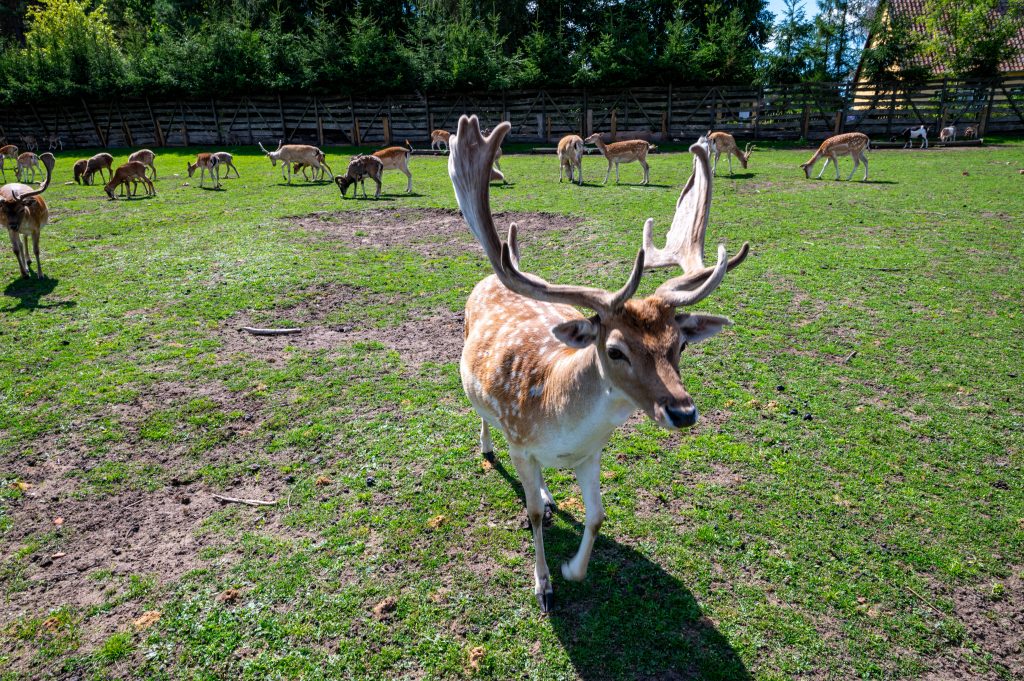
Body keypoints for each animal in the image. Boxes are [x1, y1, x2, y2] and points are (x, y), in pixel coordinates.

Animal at [452, 116, 749, 610]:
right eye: (615, 350)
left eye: (680, 345)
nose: (684, 412)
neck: (557, 418)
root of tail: (488, 279)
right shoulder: (521, 442)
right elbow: (533, 514)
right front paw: (544, 586)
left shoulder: (591, 454)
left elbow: (596, 516)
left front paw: (573, 570)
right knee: (483, 418)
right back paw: (487, 447)